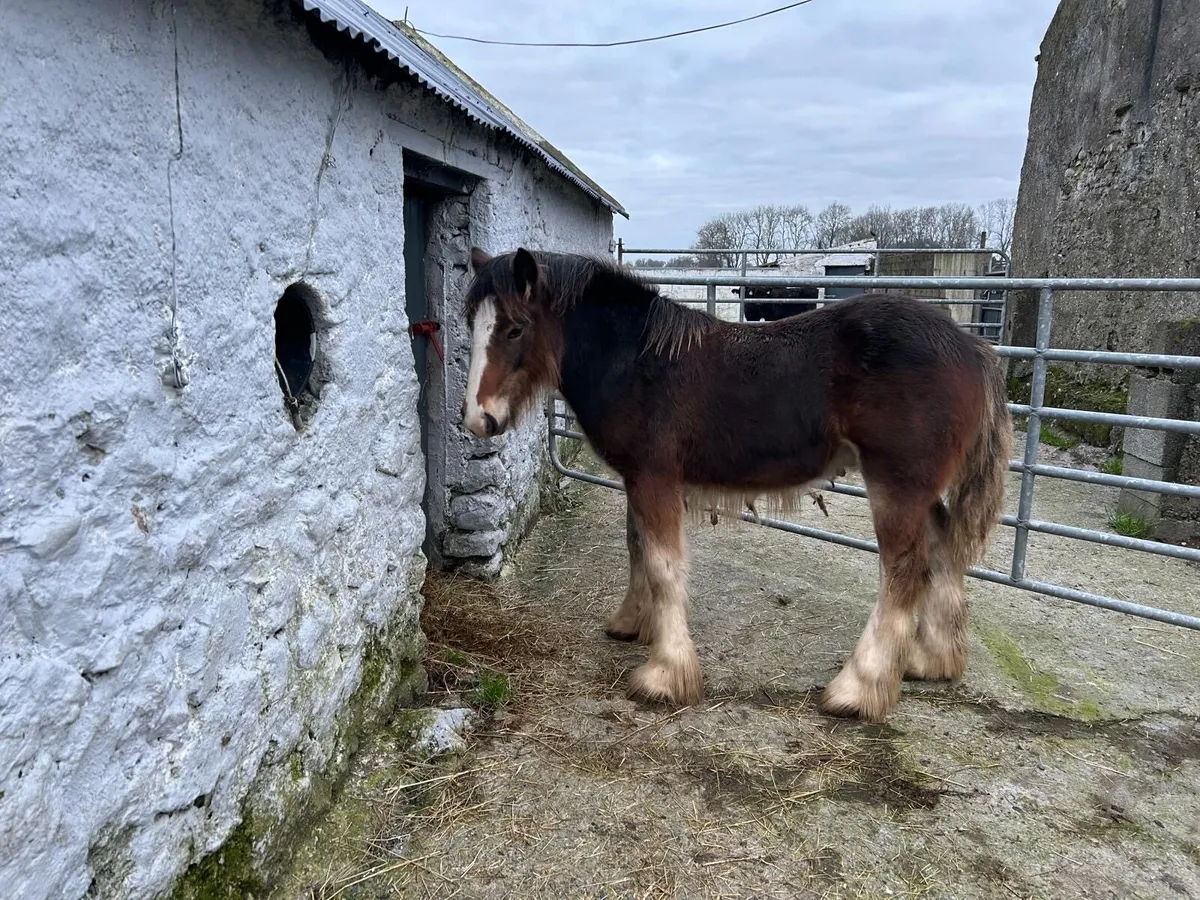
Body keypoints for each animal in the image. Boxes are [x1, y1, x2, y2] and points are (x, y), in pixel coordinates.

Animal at [460, 247, 1011, 723]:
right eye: (470, 322)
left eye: (515, 328)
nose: (479, 420)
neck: (637, 362)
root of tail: (973, 347)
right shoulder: (638, 479)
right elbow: (637, 547)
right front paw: (632, 622)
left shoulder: (654, 478)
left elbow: (662, 564)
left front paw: (666, 676)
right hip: (920, 491)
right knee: (943, 548)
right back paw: (931, 662)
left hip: (895, 486)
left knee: (905, 570)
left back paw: (858, 690)